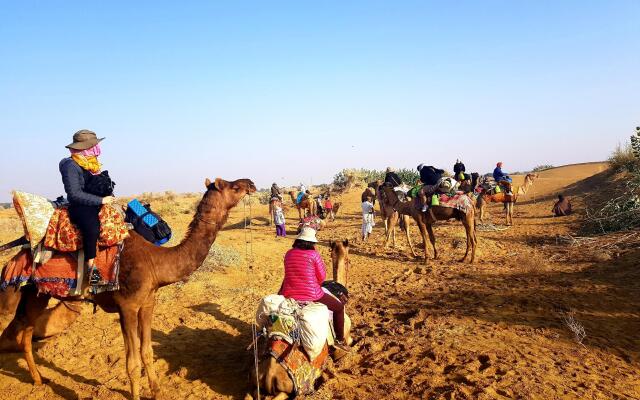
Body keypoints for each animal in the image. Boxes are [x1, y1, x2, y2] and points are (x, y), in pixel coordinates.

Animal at [3, 177, 258, 398]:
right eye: (233, 186)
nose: (251, 183)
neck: (157, 262)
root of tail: (15, 257)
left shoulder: (147, 303)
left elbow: (147, 352)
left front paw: (156, 392)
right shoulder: (127, 307)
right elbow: (132, 363)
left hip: (38, 294)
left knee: (26, 331)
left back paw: (39, 379)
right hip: (23, 290)